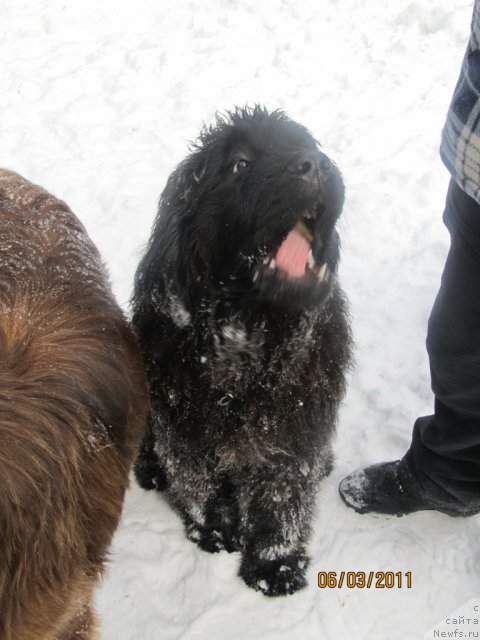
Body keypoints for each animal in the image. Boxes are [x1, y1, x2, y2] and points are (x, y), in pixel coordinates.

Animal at [133, 106, 350, 596]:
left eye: (306, 145)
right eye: (238, 165)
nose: (316, 164)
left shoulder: (293, 433)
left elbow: (282, 500)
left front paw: (275, 566)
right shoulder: (183, 426)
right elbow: (198, 484)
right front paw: (215, 534)